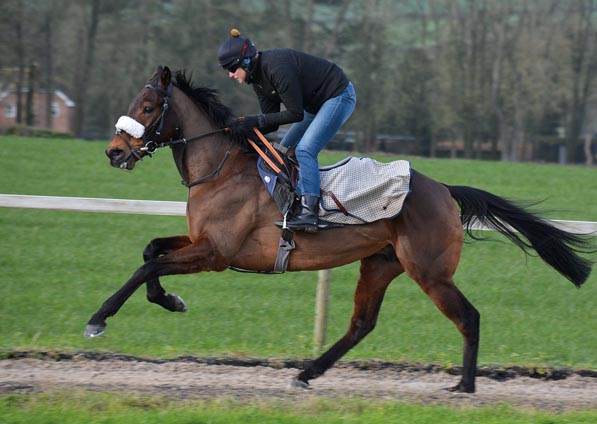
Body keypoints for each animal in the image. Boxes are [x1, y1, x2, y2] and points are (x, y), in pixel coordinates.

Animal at [86, 64, 592, 392]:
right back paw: (307, 372)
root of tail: (444, 189)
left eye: (148, 105)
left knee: (468, 317)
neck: (222, 169)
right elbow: (151, 252)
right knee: (361, 323)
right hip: (382, 264)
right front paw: (170, 300)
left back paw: (464, 387)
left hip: (430, 271)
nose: (113, 152)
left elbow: (147, 268)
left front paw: (99, 319)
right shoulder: (201, 242)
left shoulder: (216, 253)